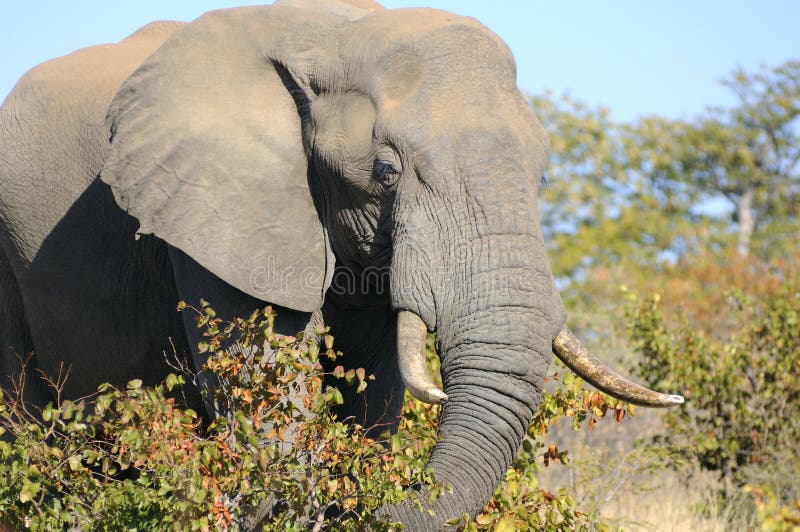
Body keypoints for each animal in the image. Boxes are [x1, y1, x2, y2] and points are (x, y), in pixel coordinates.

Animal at [0, 0, 680, 528]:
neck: (335, 33)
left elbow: (373, 392)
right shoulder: (219, 213)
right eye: (386, 172)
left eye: (542, 173)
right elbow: (273, 402)